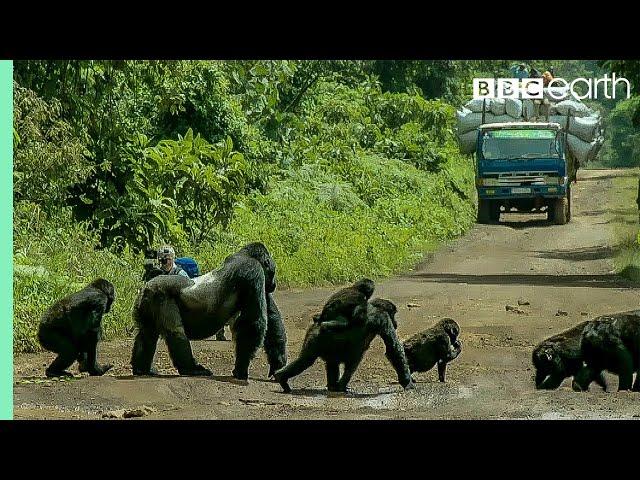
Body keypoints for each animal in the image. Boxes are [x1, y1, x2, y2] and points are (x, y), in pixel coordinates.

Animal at [130, 242, 288, 380]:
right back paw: (191, 369)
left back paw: (142, 369)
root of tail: (145, 288)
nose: (274, 284)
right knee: (176, 332)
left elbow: (271, 319)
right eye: (272, 270)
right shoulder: (253, 271)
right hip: (160, 295)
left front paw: (278, 364)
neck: (245, 255)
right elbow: (254, 322)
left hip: (146, 302)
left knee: (146, 334)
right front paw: (241, 368)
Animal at [272, 296, 412, 394]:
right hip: (316, 339)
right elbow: (393, 348)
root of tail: (317, 322)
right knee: (307, 360)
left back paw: (333, 386)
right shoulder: (383, 318)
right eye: (393, 314)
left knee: (327, 362)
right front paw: (408, 383)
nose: (395, 322)